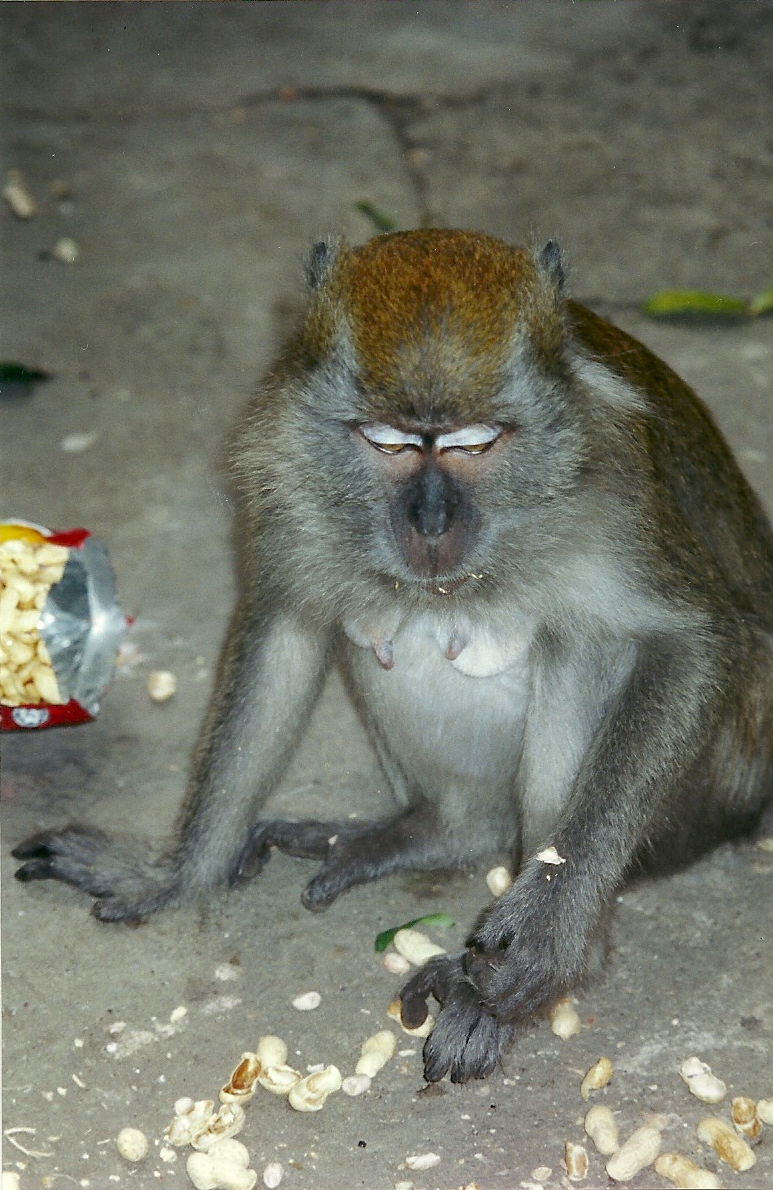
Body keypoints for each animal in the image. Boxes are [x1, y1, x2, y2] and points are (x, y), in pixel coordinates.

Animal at [13, 228, 773, 1085]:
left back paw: (521, 966)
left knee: (580, 643)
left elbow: (691, 642)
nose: (431, 520)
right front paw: (171, 874)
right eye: (388, 443)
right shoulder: (284, 460)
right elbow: (286, 625)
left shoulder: (613, 486)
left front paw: (551, 936)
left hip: (712, 790)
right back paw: (439, 828)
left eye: (476, 443)